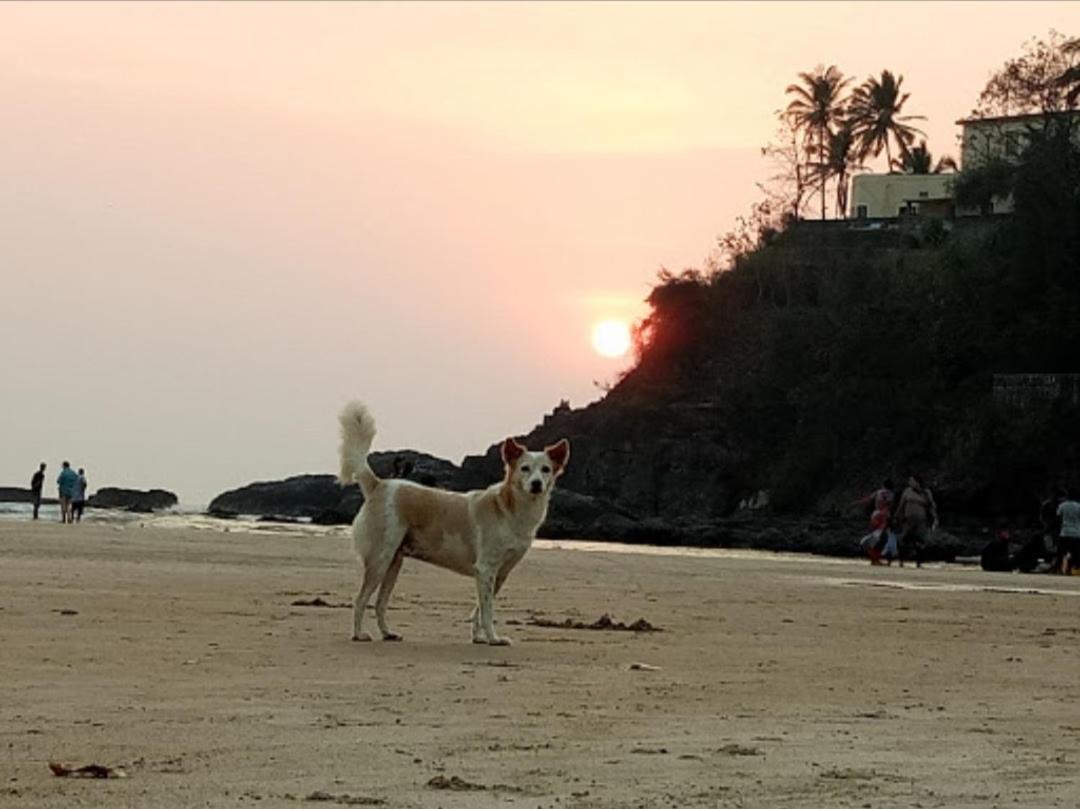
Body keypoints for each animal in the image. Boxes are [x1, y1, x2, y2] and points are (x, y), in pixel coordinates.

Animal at [339, 401, 574, 643]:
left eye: (546, 470)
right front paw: (493, 638)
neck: (510, 510)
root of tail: (379, 484)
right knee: (361, 600)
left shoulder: (498, 573)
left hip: (393, 563)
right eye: (524, 468)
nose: (536, 484)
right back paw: (358, 634)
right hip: (380, 559)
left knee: (379, 603)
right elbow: (487, 611)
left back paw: (387, 633)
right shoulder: (486, 569)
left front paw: (479, 638)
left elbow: (479, 609)